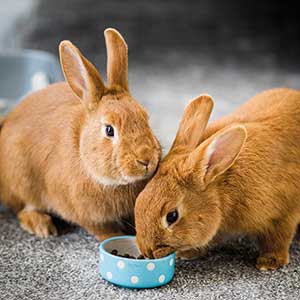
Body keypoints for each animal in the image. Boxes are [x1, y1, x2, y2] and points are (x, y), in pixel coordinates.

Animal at [0, 28, 162, 241]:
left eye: (146, 118)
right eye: (109, 130)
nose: (146, 160)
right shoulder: (85, 213)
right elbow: (102, 229)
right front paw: (114, 236)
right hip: (22, 181)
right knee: (23, 208)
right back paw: (42, 226)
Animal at [135, 88, 300, 270]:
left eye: (172, 216)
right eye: (139, 199)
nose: (147, 251)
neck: (221, 190)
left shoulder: (284, 213)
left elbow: (278, 238)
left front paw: (269, 262)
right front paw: (188, 254)